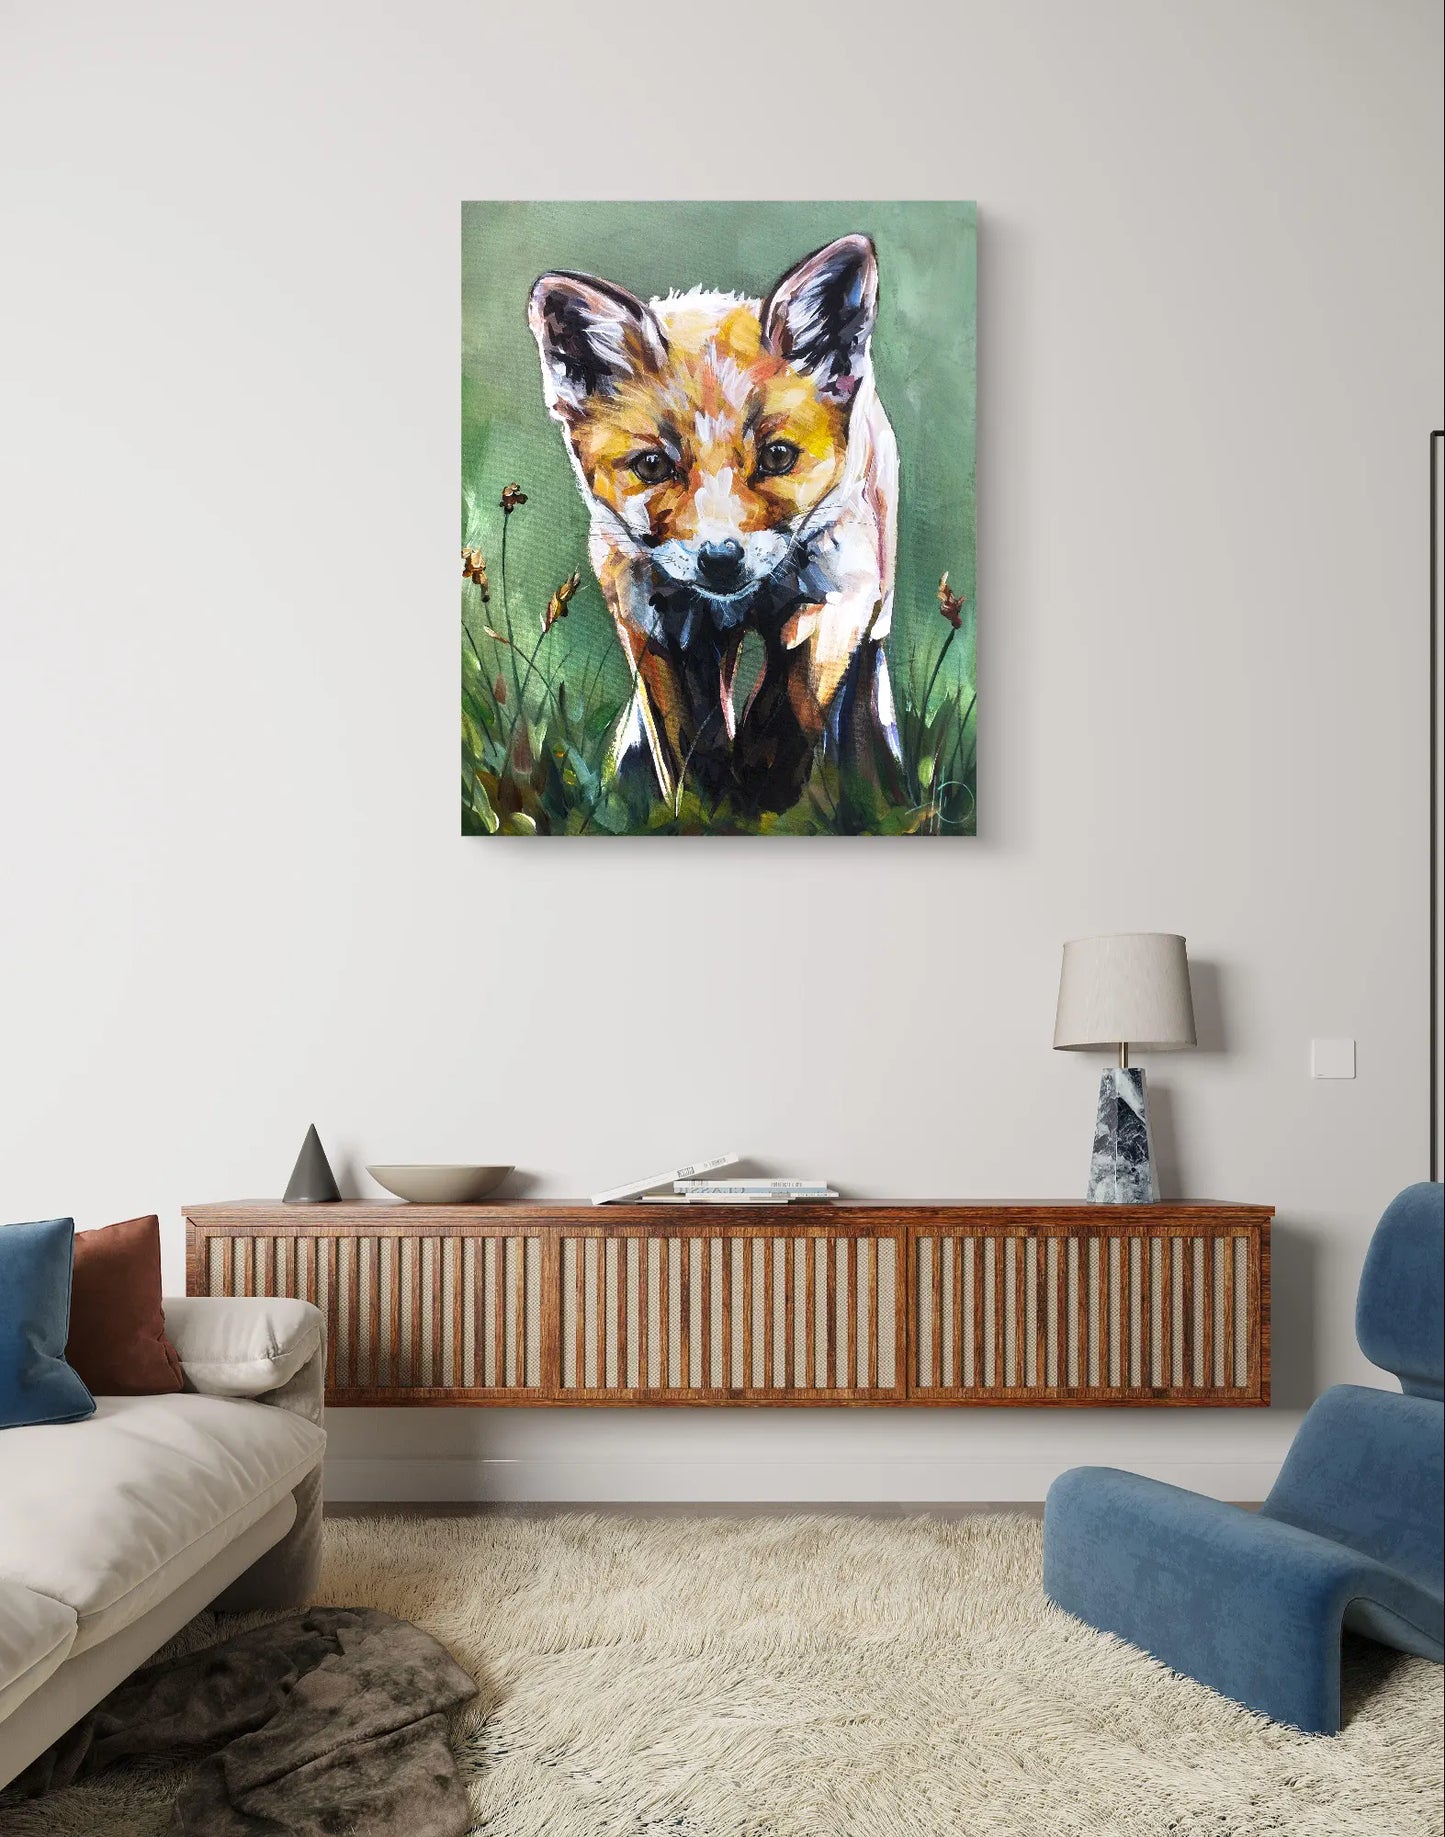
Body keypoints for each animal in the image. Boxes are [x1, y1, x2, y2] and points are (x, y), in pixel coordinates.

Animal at [527, 233, 902, 817]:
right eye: (652, 466)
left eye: (776, 457)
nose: (721, 560)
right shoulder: (652, 620)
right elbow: (685, 744)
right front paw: (706, 808)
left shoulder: (838, 592)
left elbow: (789, 709)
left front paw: (763, 797)